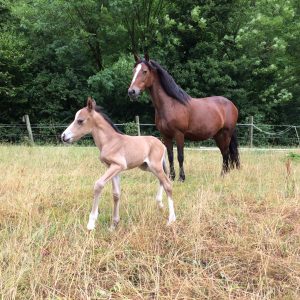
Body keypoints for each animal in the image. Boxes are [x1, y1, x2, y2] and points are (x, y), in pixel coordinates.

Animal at [61, 97, 176, 231]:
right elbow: (116, 194)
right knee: (163, 179)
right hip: (147, 167)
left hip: (155, 166)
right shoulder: (113, 168)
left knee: (167, 183)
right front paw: (114, 224)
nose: (63, 136)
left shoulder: (118, 165)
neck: (110, 141)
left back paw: (171, 219)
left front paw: (91, 223)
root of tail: (161, 144)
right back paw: (160, 204)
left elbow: (98, 185)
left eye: (80, 121)